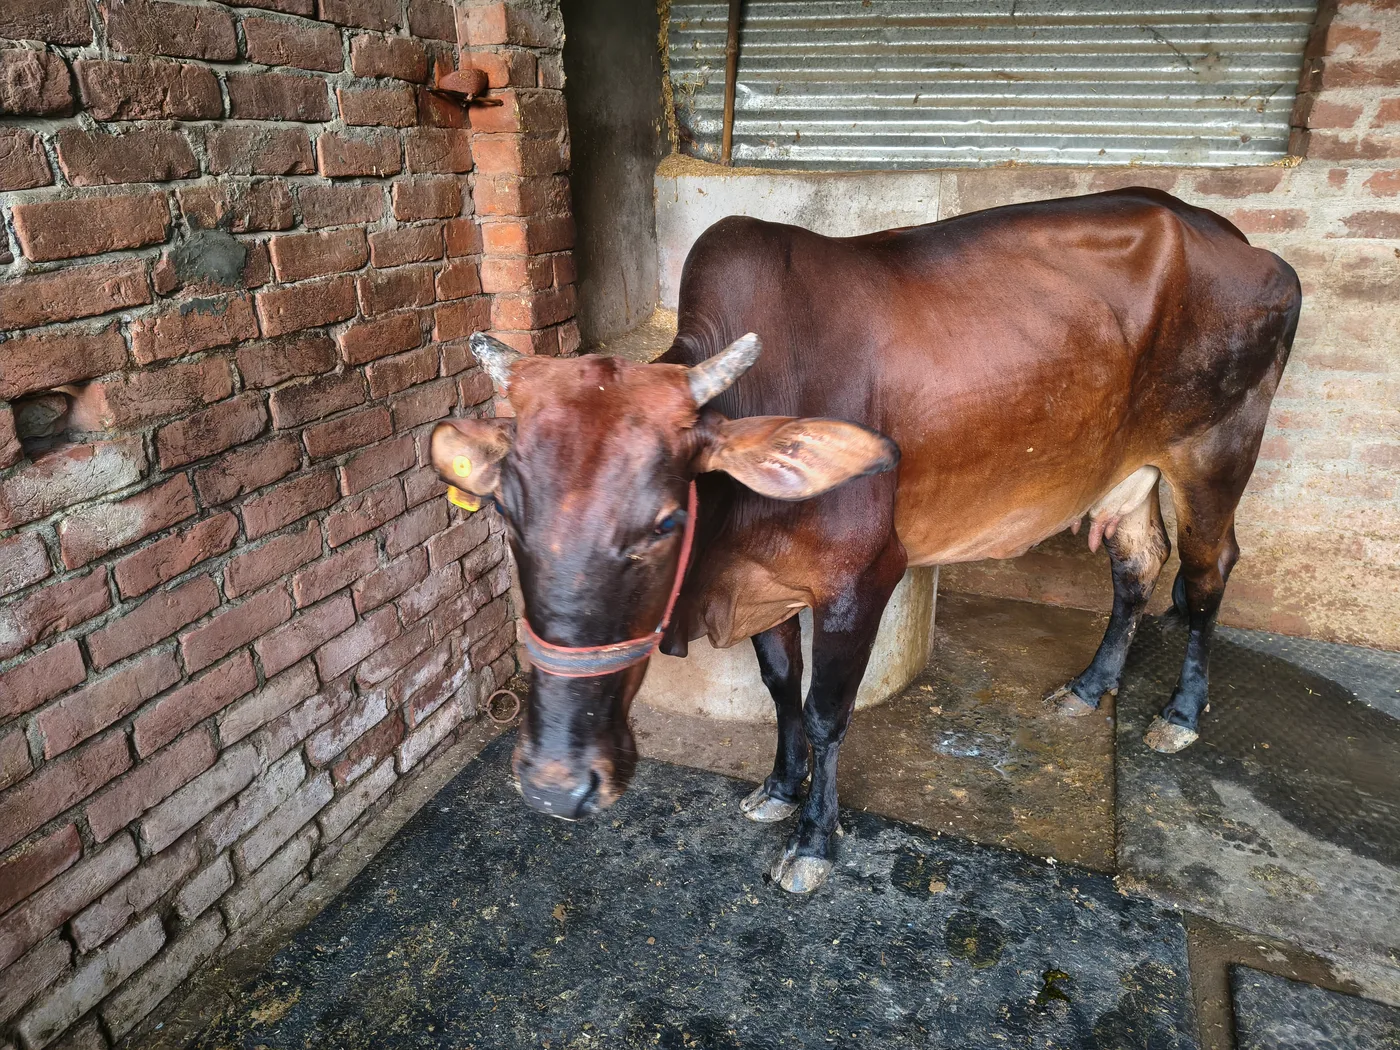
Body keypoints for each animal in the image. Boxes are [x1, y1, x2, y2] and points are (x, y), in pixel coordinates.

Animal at [430, 188, 1302, 894]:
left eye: (667, 521)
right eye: (505, 513)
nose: (556, 783)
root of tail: (1243, 243)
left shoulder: (863, 578)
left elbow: (825, 712)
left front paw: (815, 840)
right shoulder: (768, 583)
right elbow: (781, 687)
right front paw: (777, 791)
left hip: (1217, 452)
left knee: (1207, 573)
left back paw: (1181, 712)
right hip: (1130, 472)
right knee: (1135, 566)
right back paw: (1089, 689)